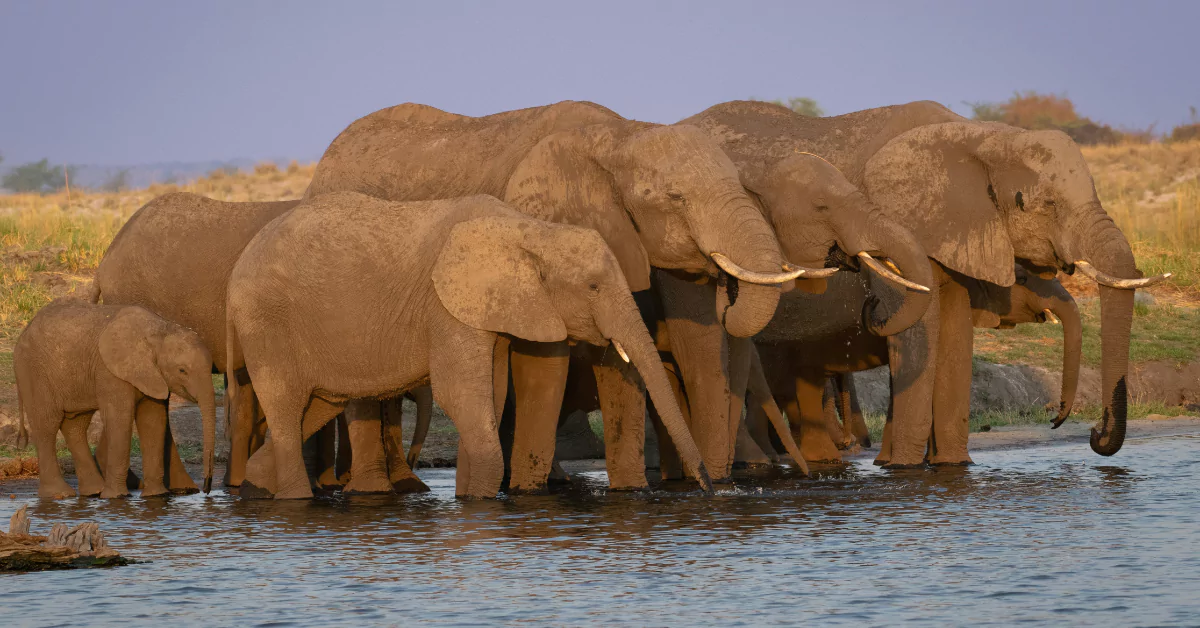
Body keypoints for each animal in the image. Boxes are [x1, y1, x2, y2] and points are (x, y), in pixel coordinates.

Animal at [15, 300, 217, 501]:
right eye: (182, 370)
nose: (206, 489)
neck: (160, 330)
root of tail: (24, 332)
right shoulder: (110, 371)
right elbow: (120, 419)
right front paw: (116, 497)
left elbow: (152, 420)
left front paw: (155, 496)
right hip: (34, 371)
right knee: (47, 425)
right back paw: (59, 494)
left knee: (76, 425)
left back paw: (93, 491)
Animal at [226, 194, 710, 499]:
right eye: (593, 286)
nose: (708, 486)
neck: (532, 230)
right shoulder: (447, 308)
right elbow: (461, 396)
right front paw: (479, 504)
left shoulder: (487, 314)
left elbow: (490, 398)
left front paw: (470, 499)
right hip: (265, 322)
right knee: (287, 408)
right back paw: (292, 501)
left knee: (316, 407)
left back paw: (254, 489)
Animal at [302, 99, 825, 492]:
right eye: (674, 198)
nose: (717, 487)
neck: (618, 136)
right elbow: (544, 359)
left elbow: (666, 348)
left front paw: (633, 491)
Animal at [681, 99, 1166, 465]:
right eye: (1038, 203)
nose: (1089, 431)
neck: (980, 136)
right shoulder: (904, 222)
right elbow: (921, 332)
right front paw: (905, 470)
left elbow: (954, 333)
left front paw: (953, 466)